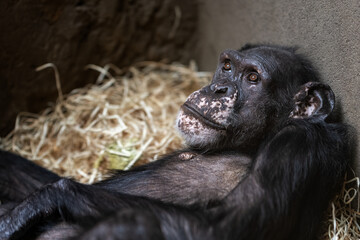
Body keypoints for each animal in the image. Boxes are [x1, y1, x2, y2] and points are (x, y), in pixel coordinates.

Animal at [0, 43, 350, 240]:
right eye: (227, 66)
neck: (248, 144)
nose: (219, 87)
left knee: (133, 224)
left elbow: (225, 227)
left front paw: (40, 201)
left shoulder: (297, 145)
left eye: (252, 78)